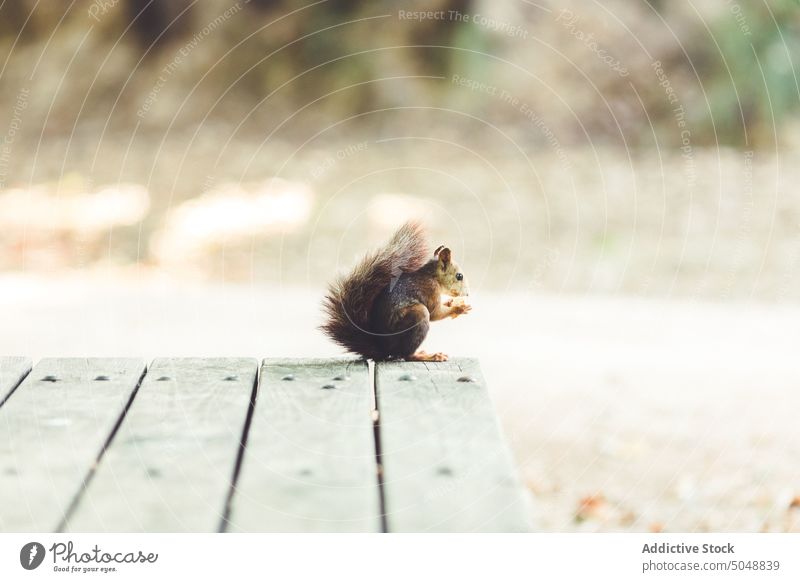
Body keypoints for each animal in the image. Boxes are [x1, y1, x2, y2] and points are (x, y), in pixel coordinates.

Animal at [318, 222, 468, 362]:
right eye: (459, 276)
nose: (467, 294)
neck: (432, 276)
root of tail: (383, 348)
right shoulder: (430, 290)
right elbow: (435, 314)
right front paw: (459, 308)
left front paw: (451, 303)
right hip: (418, 314)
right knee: (405, 354)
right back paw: (426, 356)